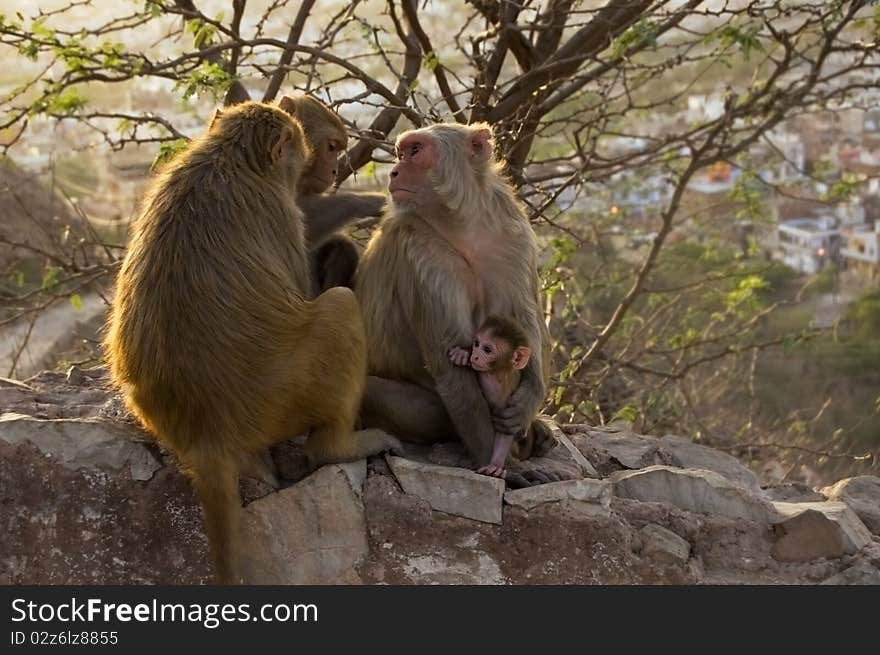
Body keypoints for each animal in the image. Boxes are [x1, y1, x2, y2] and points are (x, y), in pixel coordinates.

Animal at [104, 100, 402, 580]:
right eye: (329, 147)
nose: (333, 169)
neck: (228, 156)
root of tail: (206, 437)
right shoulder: (279, 210)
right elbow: (302, 284)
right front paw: (367, 203)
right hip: (285, 399)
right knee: (339, 309)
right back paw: (337, 448)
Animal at [446, 316, 528, 476]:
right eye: (477, 344)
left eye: (487, 350)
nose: (475, 356)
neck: (494, 373)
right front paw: (463, 353)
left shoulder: (508, 391)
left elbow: (505, 428)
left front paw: (495, 464)